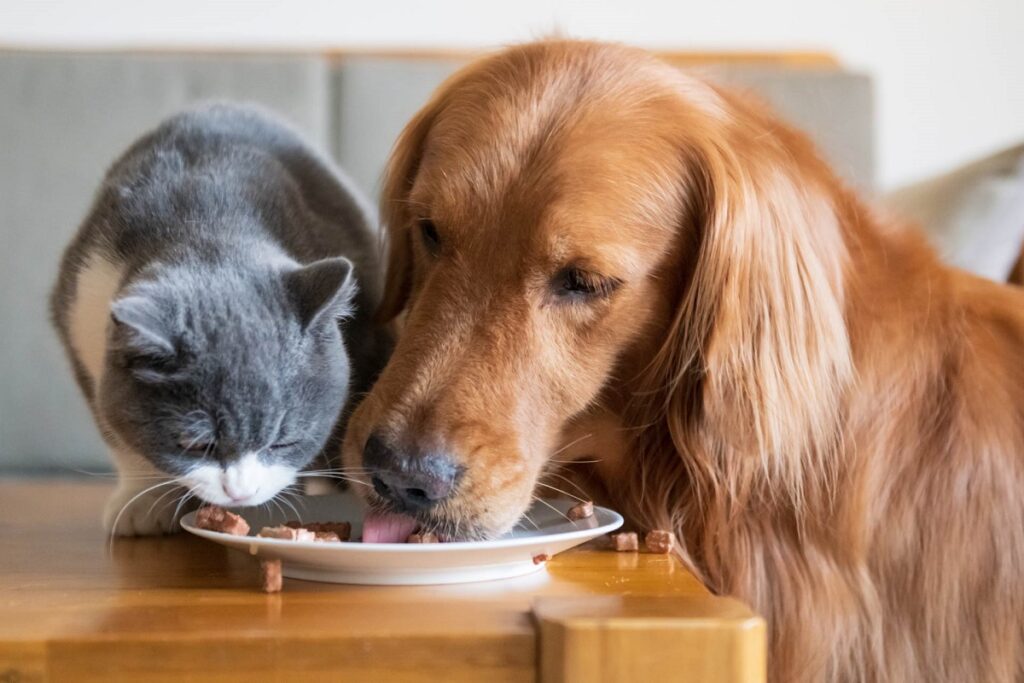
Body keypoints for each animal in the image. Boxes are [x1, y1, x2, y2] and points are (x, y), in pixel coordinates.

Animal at [48, 104, 391, 536]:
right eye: (196, 444)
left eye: (283, 441)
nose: (240, 493)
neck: (204, 221)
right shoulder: (81, 310)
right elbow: (117, 428)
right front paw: (143, 501)